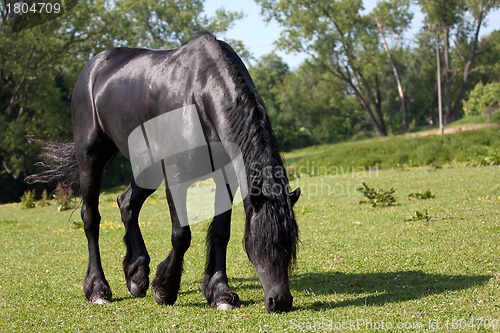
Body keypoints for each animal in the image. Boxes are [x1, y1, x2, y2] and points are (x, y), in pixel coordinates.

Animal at [25, 31, 300, 312]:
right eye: (261, 243)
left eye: (290, 243)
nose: (280, 301)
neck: (198, 94)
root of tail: (93, 68)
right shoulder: (176, 178)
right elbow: (181, 235)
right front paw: (165, 289)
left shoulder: (225, 179)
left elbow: (221, 232)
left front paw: (220, 293)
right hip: (91, 158)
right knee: (91, 218)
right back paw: (98, 289)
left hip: (149, 169)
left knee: (127, 203)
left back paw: (136, 274)